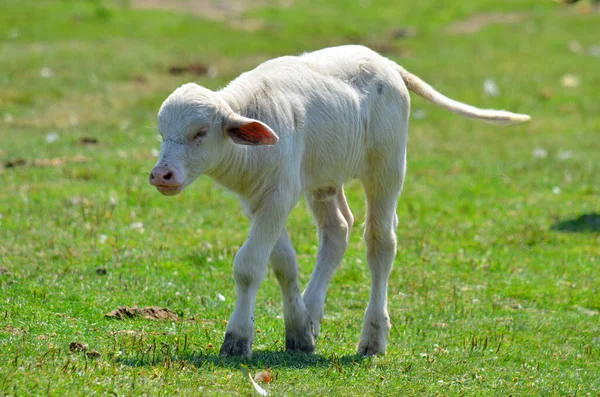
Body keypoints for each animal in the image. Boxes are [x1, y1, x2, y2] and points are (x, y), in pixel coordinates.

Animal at [150, 44, 528, 358]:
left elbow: (249, 265)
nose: (161, 175)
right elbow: (284, 264)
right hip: (325, 179)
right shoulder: (259, 200)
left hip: (387, 168)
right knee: (338, 230)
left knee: (380, 243)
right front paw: (299, 331)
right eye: (162, 133)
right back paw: (313, 314)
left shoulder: (279, 195)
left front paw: (237, 339)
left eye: (200, 133)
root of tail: (386, 63)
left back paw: (373, 338)